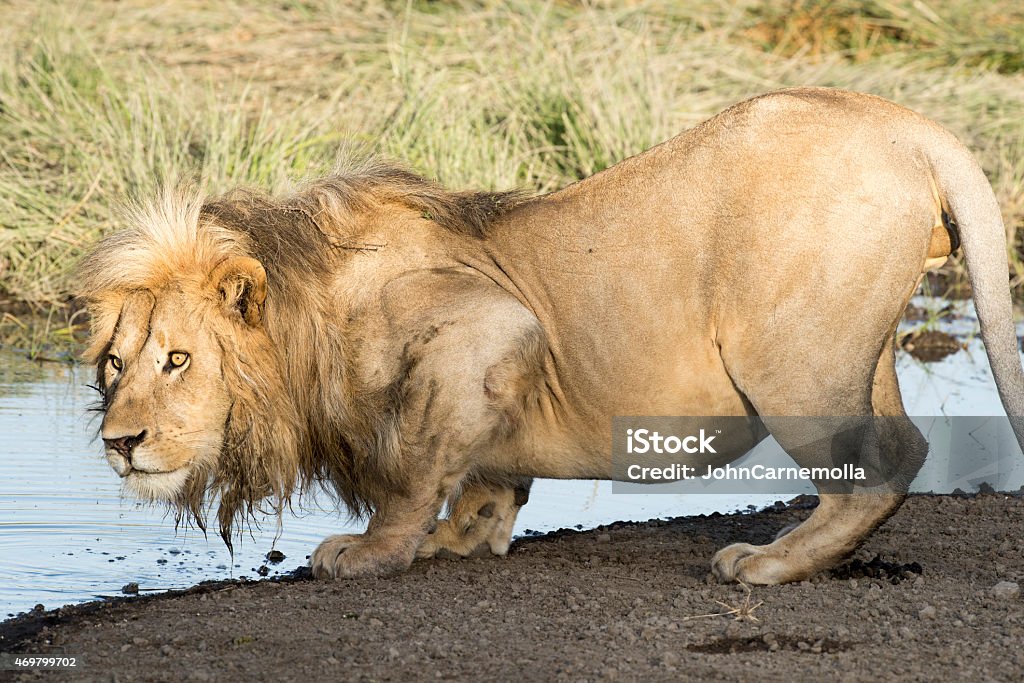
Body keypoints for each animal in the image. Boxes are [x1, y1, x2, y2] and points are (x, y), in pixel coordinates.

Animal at [77, 88, 1024, 585]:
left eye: (177, 359)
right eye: (114, 363)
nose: (119, 442)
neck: (306, 314)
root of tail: (906, 123)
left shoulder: (489, 321)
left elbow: (414, 463)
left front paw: (375, 549)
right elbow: (482, 470)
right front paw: (467, 534)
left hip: (790, 358)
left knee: (883, 461)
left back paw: (769, 562)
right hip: (851, 349)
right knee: (900, 444)